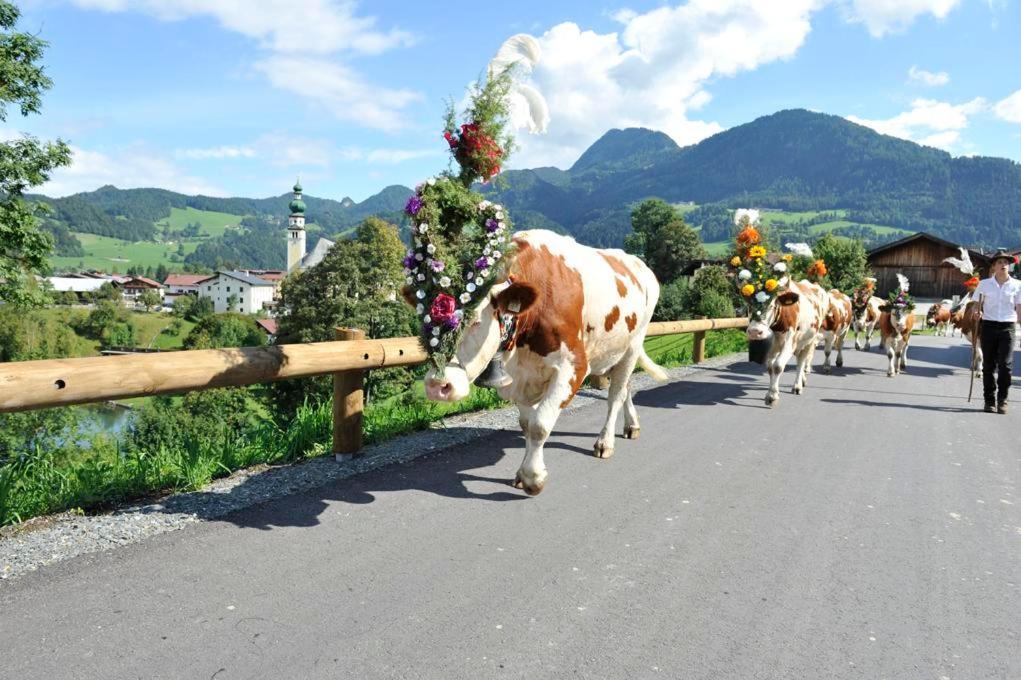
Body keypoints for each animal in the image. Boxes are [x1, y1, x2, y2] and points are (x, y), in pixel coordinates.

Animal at [418, 227, 665, 492]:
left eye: (475, 320)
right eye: (425, 324)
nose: (437, 385)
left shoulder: (573, 366)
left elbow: (540, 425)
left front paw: (532, 477)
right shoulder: (518, 377)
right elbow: (527, 424)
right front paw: (521, 472)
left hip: (633, 345)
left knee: (616, 395)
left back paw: (605, 442)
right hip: (611, 351)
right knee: (626, 387)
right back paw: (631, 425)